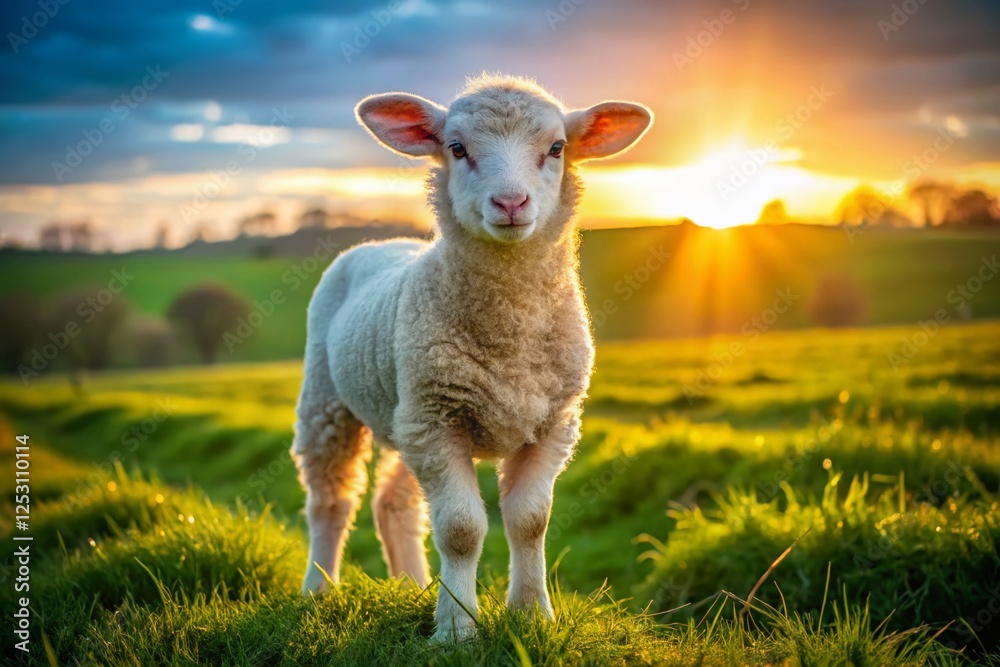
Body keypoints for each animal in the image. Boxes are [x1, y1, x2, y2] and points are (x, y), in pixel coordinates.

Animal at [291, 73, 652, 642]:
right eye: (457, 148)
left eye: (557, 148)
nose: (511, 202)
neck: (510, 336)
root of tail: (381, 242)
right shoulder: (438, 421)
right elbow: (461, 528)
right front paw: (457, 629)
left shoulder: (551, 422)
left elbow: (530, 520)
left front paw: (531, 613)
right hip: (330, 403)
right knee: (331, 501)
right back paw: (319, 589)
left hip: (403, 411)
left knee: (394, 502)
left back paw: (414, 586)